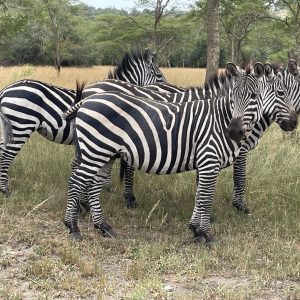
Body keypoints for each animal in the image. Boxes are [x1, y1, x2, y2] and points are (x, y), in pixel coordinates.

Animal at [0, 48, 165, 195]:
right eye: (159, 75)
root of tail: (6, 90)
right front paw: (105, 188)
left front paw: (104, 187)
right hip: (21, 126)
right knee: (6, 156)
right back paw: (6, 190)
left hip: (9, 128)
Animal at [63, 62, 270, 243]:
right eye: (233, 96)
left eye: (254, 96)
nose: (234, 131)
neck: (219, 119)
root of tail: (86, 100)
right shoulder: (209, 160)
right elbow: (205, 198)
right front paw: (205, 235)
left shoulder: (206, 164)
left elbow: (199, 196)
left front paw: (195, 230)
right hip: (95, 150)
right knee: (76, 181)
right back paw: (73, 227)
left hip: (104, 153)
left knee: (94, 185)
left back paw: (103, 227)